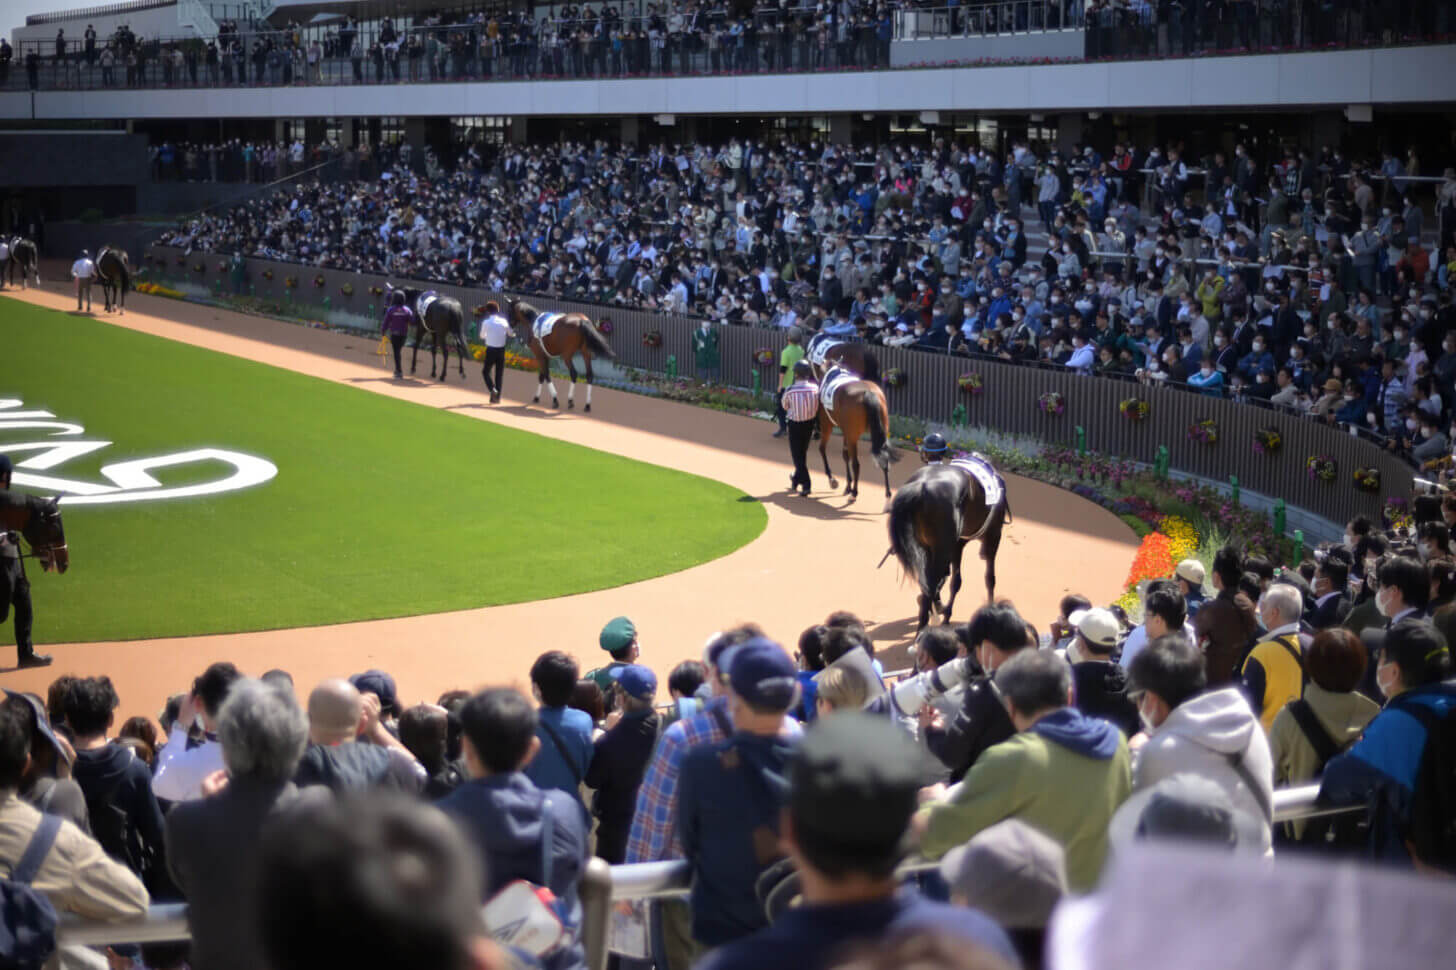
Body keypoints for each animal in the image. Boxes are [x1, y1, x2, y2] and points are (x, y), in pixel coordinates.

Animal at [815, 362, 891, 498]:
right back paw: (887, 492)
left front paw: (833, 479)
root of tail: (868, 392)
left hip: (850, 435)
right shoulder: (847, 433)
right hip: (881, 433)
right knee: (884, 459)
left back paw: (855, 492)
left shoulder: (827, 425)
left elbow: (823, 449)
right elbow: (845, 455)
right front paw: (848, 486)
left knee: (856, 463)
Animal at [885, 454, 1013, 632]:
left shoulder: (957, 544)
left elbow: (955, 580)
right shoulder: (992, 537)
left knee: (928, 584)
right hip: (944, 549)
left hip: (930, 548)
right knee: (931, 586)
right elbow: (989, 578)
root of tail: (921, 486)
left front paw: (944, 613)